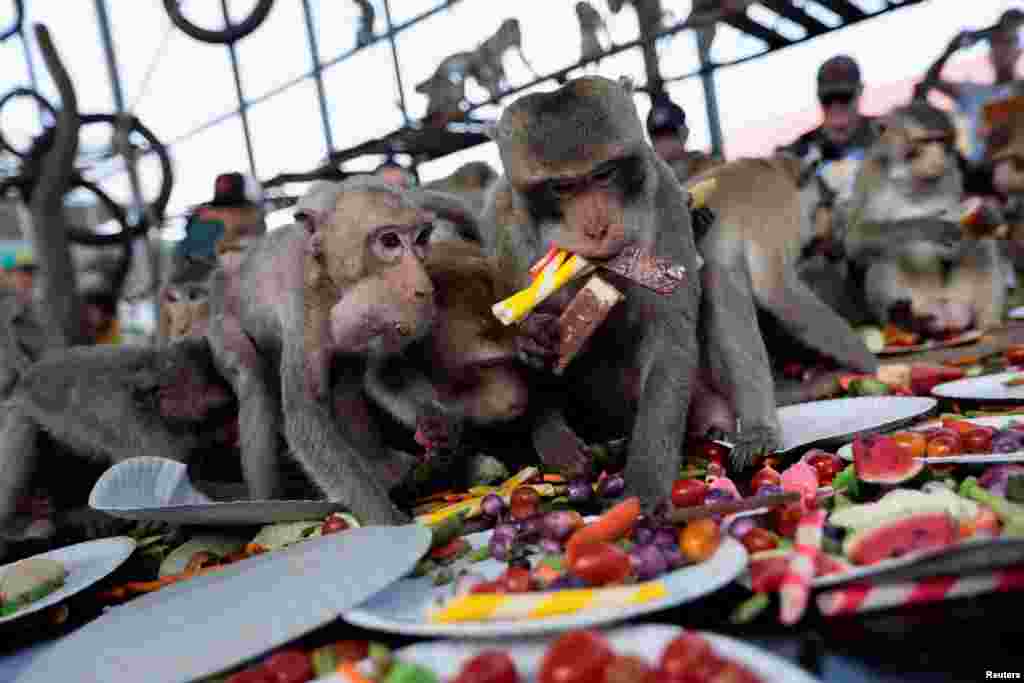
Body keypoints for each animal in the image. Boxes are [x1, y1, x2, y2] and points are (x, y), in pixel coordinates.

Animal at [202, 175, 436, 524]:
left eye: (421, 239)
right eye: (390, 241)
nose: (423, 286)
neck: (333, 286)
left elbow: (382, 373)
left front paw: (435, 420)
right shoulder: (304, 307)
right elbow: (305, 414)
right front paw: (385, 519)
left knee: (345, 385)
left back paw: (383, 466)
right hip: (221, 322)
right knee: (253, 383)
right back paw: (266, 504)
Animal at [477, 76, 704, 507]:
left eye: (603, 175)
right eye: (563, 187)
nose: (597, 228)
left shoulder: (662, 193)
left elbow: (669, 337)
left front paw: (644, 487)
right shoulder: (501, 218)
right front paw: (532, 340)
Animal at [839, 100, 1007, 335]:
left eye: (941, 140)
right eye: (925, 141)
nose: (937, 158)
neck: (912, 179)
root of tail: (944, 314)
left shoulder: (953, 173)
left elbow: (956, 247)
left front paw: (990, 212)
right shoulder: (872, 173)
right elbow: (856, 240)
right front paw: (926, 226)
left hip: (957, 299)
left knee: (984, 245)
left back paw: (989, 324)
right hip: (918, 302)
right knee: (885, 254)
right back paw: (905, 323)